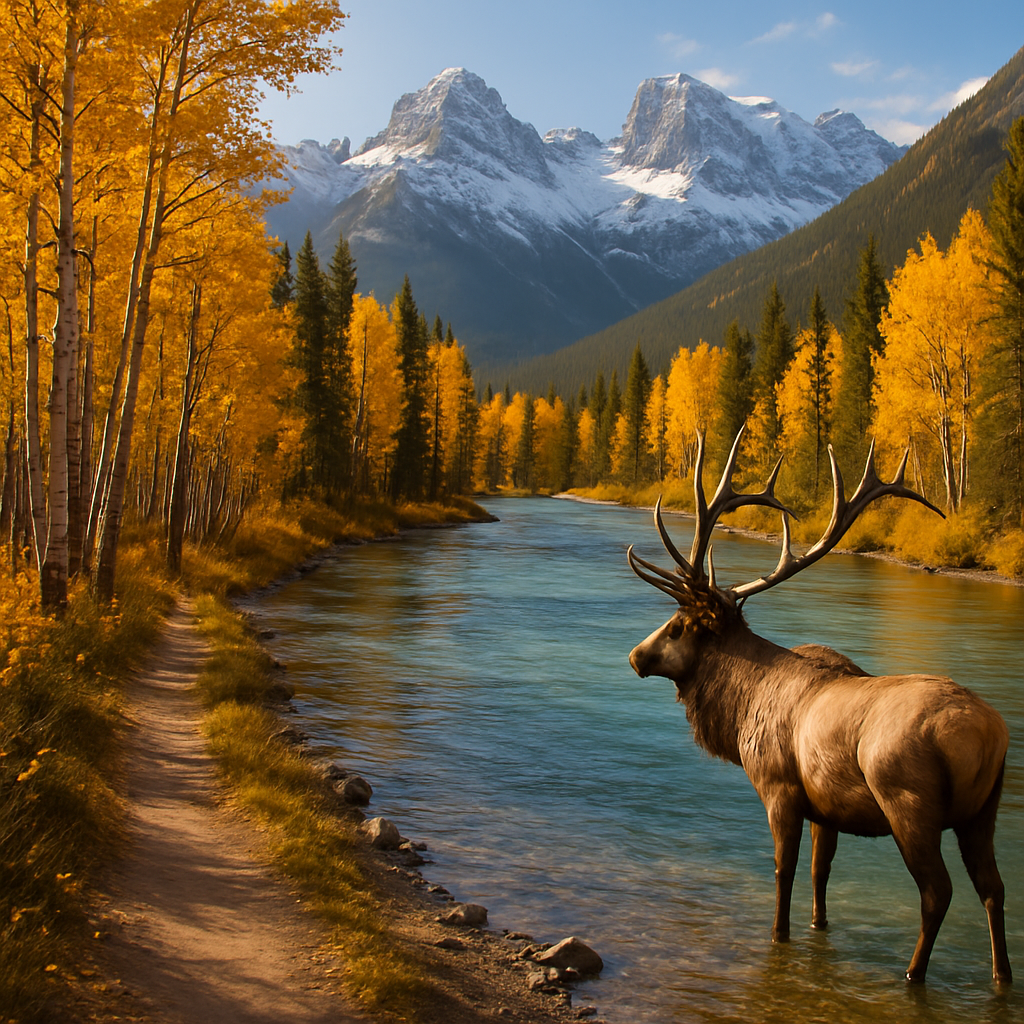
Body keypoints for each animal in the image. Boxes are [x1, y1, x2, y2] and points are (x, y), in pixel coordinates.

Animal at [627, 428, 1012, 984]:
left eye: (677, 626)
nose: (635, 656)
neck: (740, 707)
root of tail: (986, 735)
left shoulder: (778, 788)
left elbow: (783, 870)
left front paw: (778, 936)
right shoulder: (825, 808)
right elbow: (819, 871)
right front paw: (817, 928)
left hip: (908, 803)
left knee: (937, 893)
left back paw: (914, 974)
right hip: (983, 811)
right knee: (993, 888)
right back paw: (1002, 976)